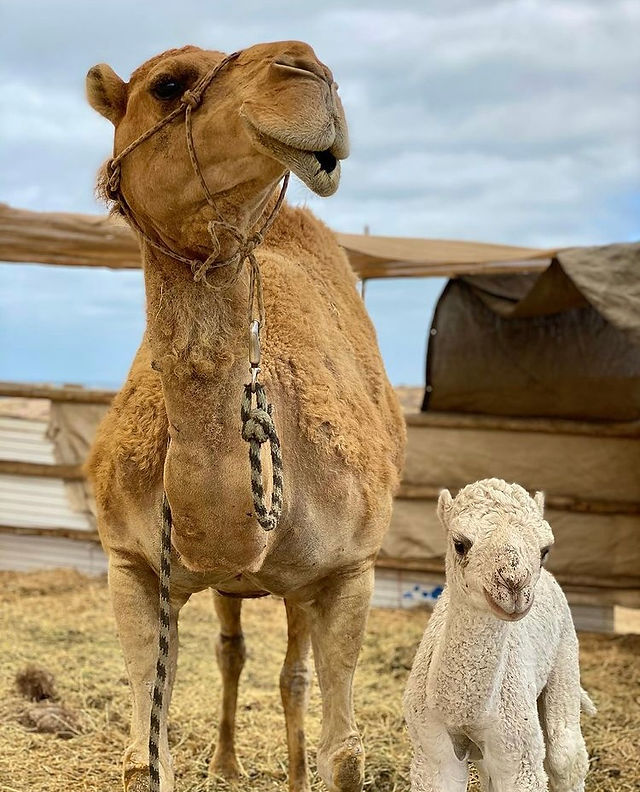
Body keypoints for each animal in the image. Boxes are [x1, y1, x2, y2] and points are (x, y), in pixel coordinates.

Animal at [85, 41, 405, 792]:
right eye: (167, 84)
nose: (307, 69)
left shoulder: (350, 568)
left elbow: (346, 752)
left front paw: (317, 768)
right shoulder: (130, 564)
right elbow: (144, 755)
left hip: (302, 584)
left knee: (292, 674)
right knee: (232, 650)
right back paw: (228, 763)